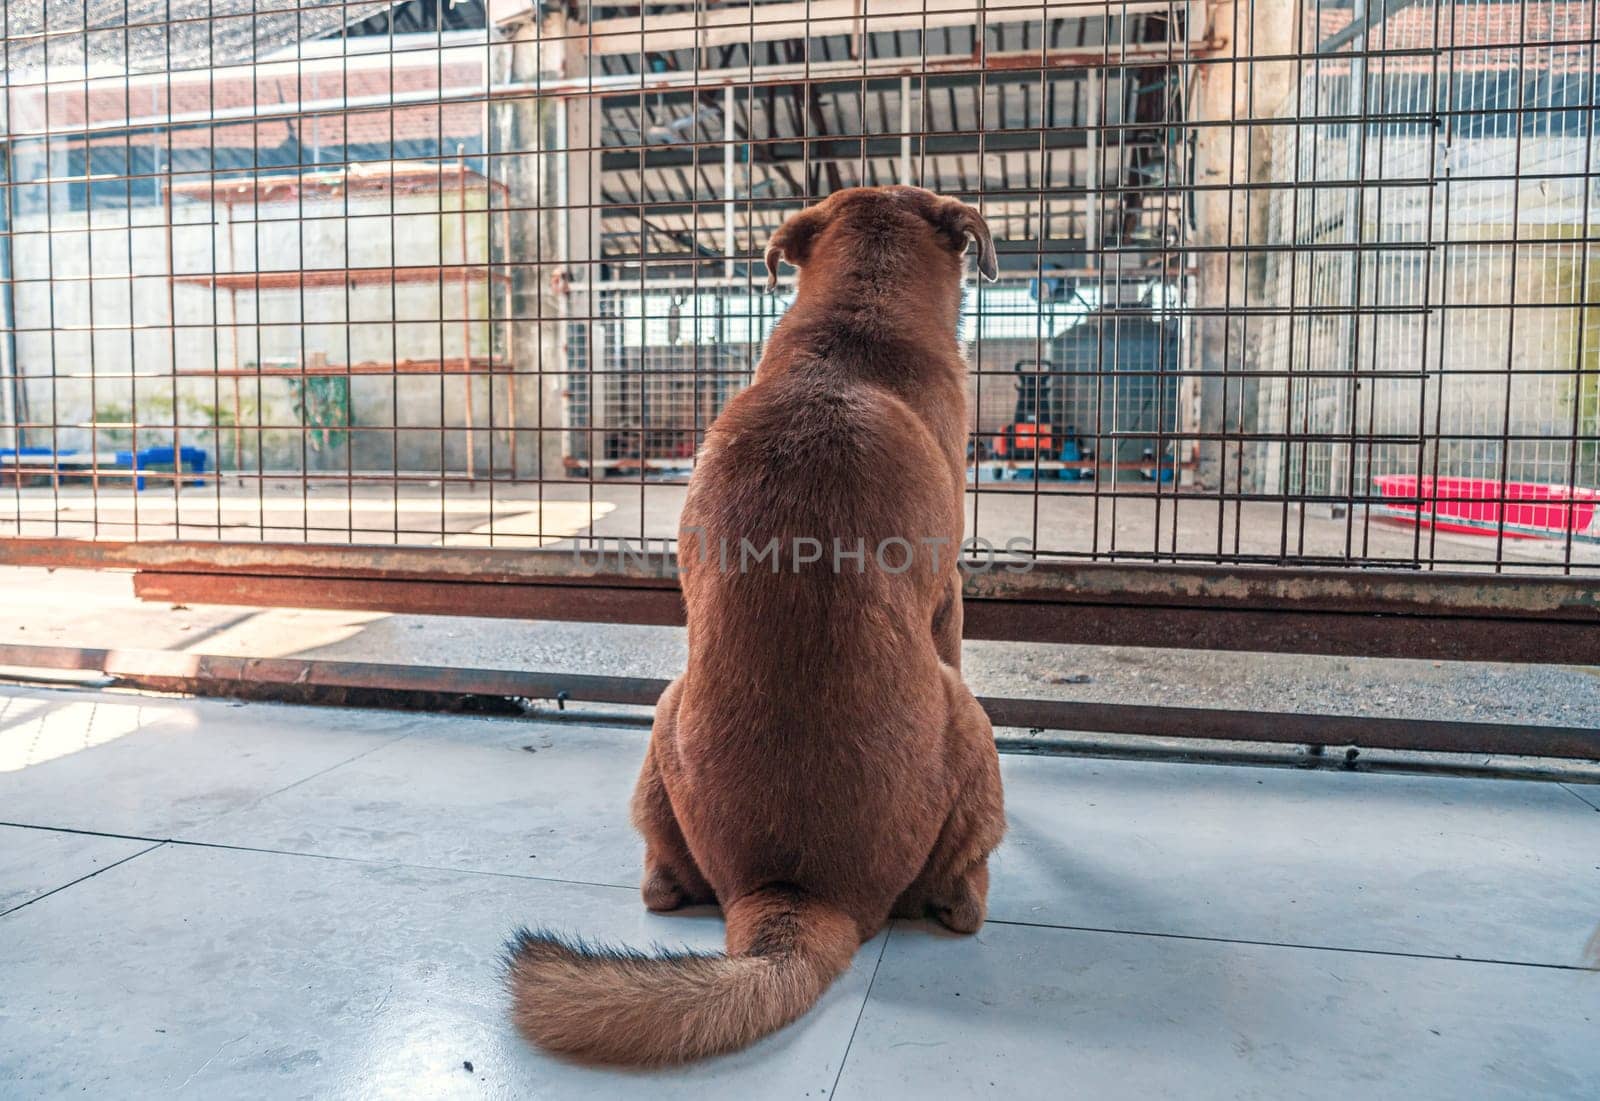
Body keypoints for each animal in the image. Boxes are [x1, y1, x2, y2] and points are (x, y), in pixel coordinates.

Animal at [512, 188, 1004, 1068]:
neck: (852, 328)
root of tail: (799, 892)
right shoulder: (949, 595)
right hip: (969, 722)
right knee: (961, 896)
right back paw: (968, 894)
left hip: (665, 711)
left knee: (660, 883)